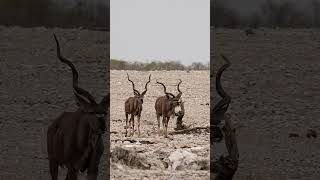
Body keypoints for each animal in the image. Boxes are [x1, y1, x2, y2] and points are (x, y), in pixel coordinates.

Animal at [46, 34, 109, 180]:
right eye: (91, 112)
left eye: (105, 113)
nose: (102, 126)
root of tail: (53, 125)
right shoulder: (72, 166)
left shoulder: (93, 168)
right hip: (53, 160)